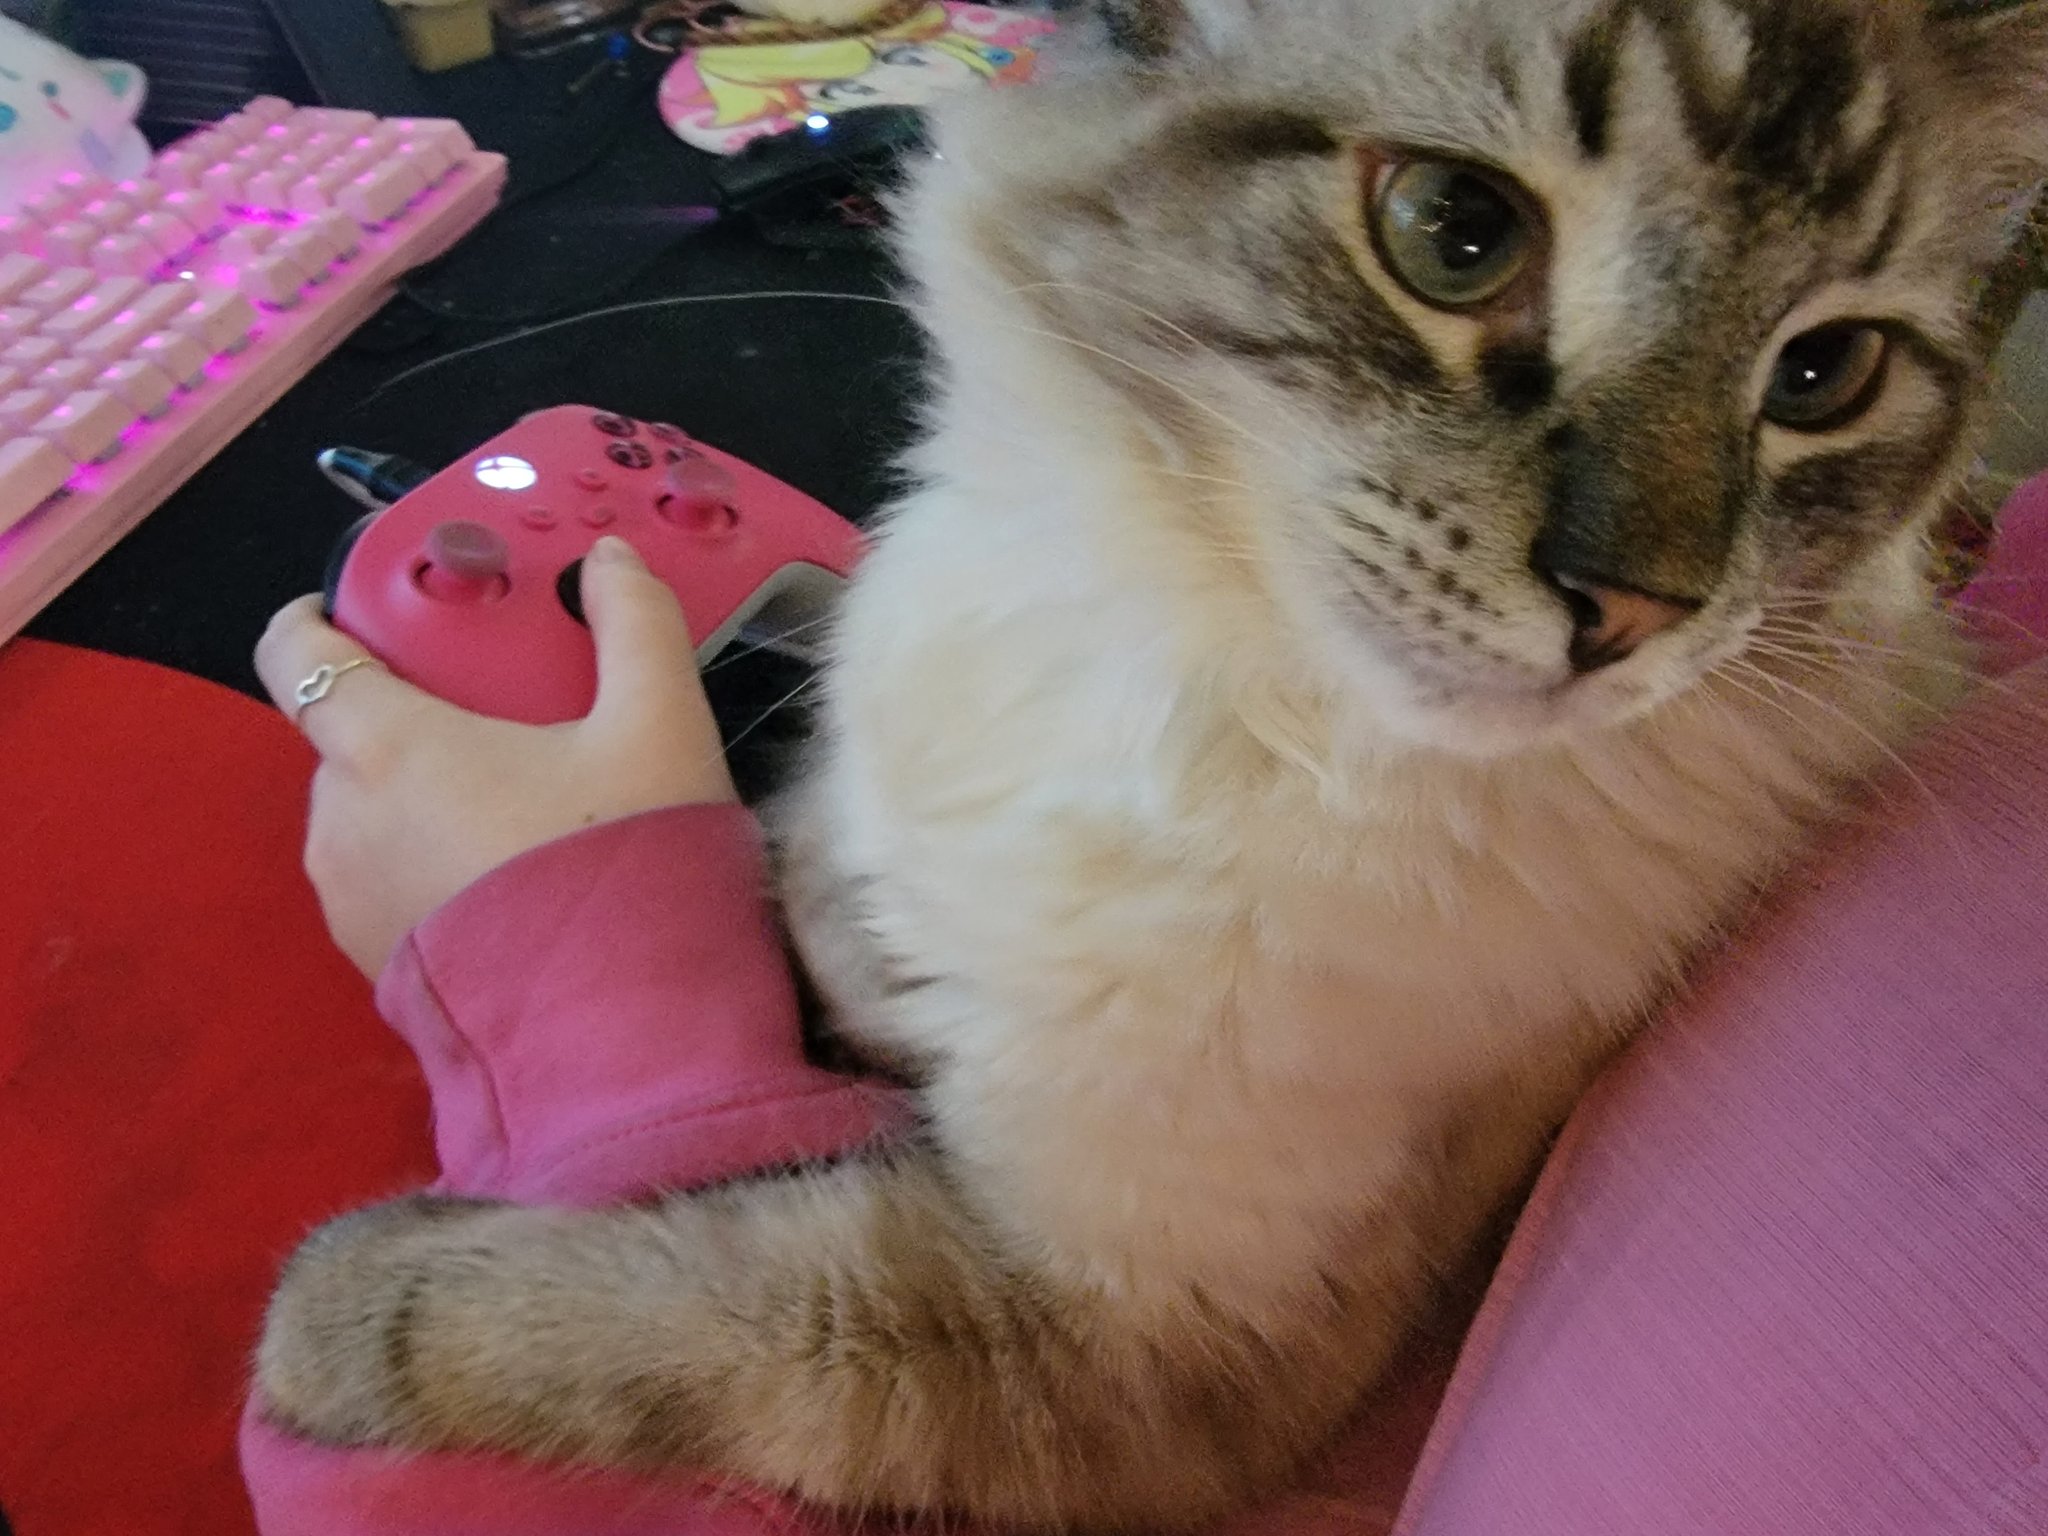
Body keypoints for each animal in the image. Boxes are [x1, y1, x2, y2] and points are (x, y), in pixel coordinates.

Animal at [256, 0, 2048, 1527]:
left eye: (1820, 377)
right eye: (1457, 234)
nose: (1633, 610)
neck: (1206, 664)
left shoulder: (1110, 1340)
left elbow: (660, 1302)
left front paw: (324, 1320)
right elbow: (815, 874)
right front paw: (870, 980)